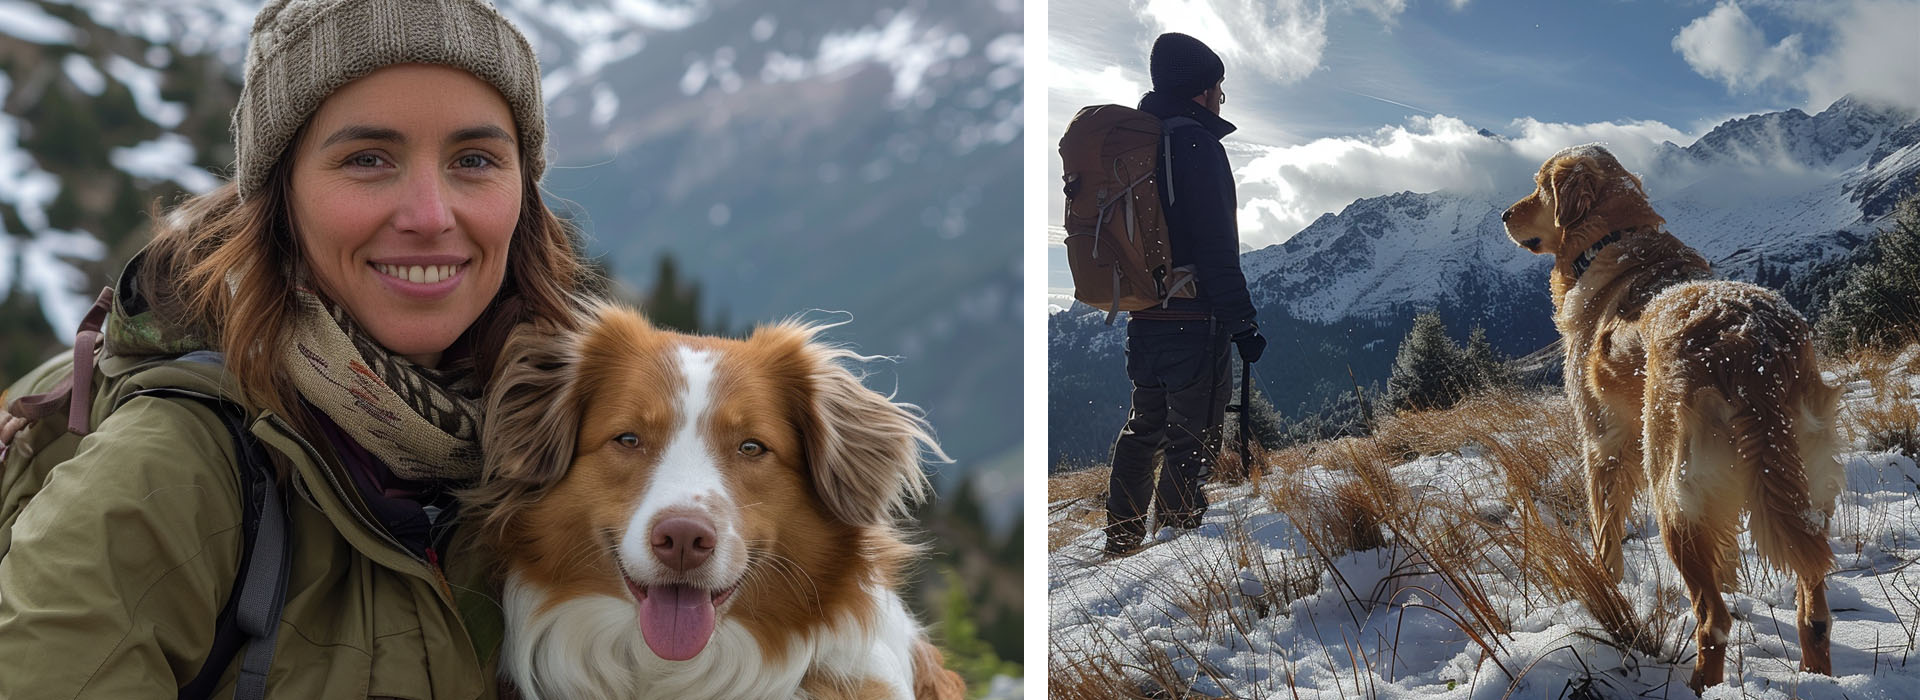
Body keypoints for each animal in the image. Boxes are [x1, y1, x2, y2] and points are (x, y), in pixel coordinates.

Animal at [1497, 142, 1843, 694]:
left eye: (1538, 186)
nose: (1504, 215)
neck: (1617, 239)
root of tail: (1749, 346)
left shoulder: (1601, 441)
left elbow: (1604, 532)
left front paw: (1606, 591)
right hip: (1806, 483)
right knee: (1813, 609)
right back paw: (1817, 678)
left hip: (1671, 490)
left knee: (1712, 618)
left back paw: (1699, 684)